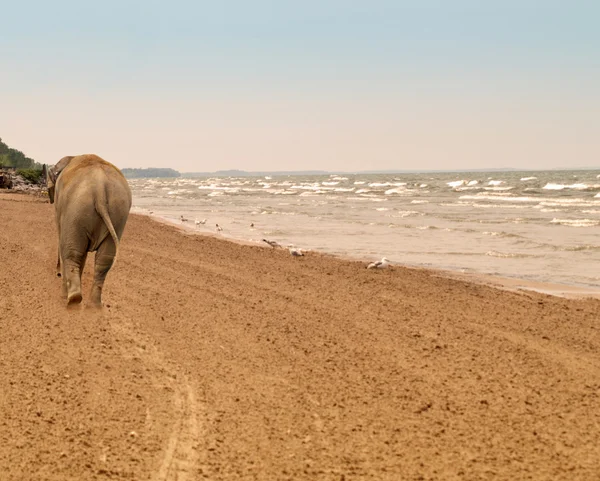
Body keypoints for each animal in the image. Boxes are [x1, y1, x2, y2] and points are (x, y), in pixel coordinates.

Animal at [45, 154, 132, 308]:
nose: (57, 273)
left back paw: (72, 300)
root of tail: (100, 187)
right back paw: (94, 305)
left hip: (76, 208)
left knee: (72, 253)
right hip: (118, 213)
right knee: (104, 258)